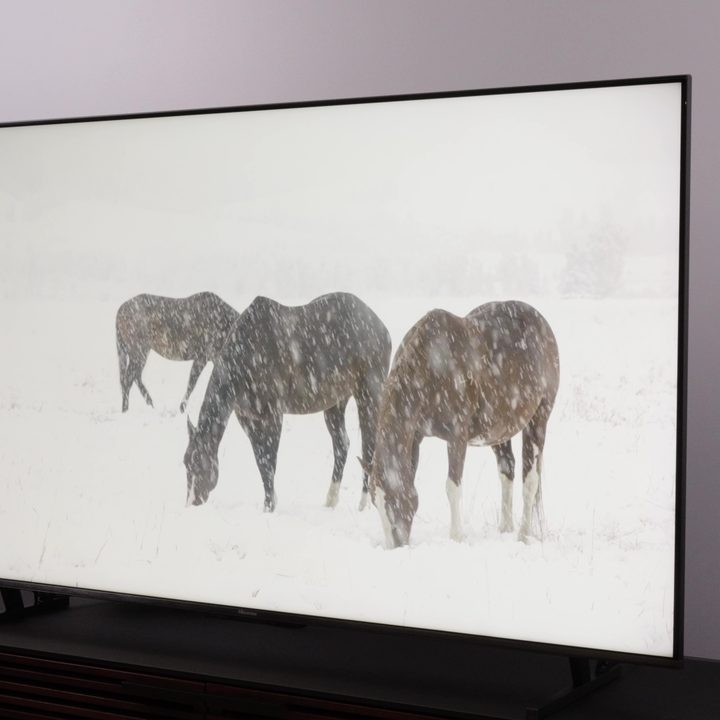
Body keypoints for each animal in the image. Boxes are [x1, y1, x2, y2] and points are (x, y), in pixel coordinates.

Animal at [184, 292, 392, 511]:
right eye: (185, 462)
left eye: (198, 463)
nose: (192, 502)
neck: (248, 352)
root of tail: (381, 327)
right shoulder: (248, 419)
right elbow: (261, 461)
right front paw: (270, 502)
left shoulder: (273, 416)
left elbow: (269, 462)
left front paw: (269, 506)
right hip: (335, 404)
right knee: (342, 445)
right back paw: (331, 500)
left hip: (368, 397)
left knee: (368, 447)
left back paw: (364, 504)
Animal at [366, 300, 559, 548]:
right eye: (375, 502)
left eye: (393, 501)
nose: (397, 546)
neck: (429, 366)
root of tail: (542, 323)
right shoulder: (415, 436)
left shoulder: (456, 438)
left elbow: (453, 487)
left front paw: (456, 536)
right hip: (500, 431)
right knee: (507, 471)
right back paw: (505, 529)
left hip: (538, 419)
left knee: (530, 480)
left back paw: (523, 535)